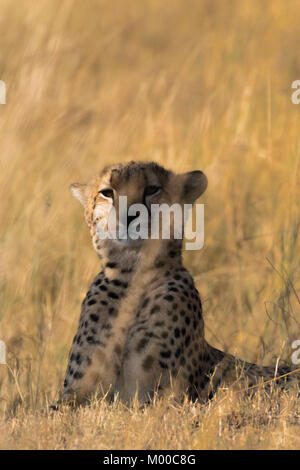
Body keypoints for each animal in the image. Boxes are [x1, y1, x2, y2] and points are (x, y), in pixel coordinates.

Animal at [59, 161, 298, 404]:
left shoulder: (164, 396)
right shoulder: (74, 395)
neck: (132, 275)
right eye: (107, 192)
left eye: (152, 189)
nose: (129, 216)